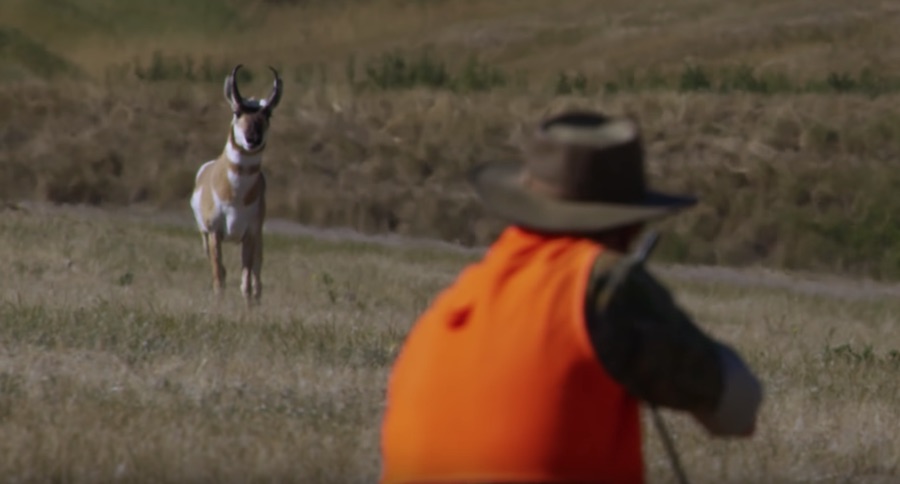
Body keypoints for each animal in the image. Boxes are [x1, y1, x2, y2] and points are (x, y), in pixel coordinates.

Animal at [192, 64, 284, 306]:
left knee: (257, 276)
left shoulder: (250, 234)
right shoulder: (214, 233)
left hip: (257, 240)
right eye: (236, 112)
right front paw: (219, 305)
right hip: (206, 238)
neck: (235, 195)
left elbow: (247, 280)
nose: (252, 139)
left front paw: (249, 308)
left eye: (268, 113)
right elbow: (219, 275)